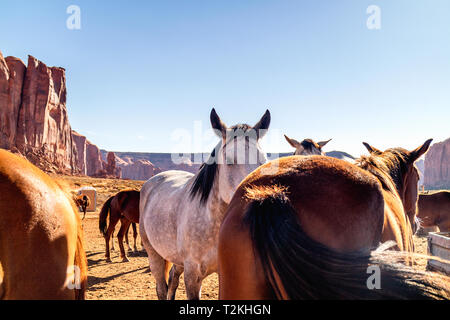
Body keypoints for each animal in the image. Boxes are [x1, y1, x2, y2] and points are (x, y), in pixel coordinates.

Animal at [139, 108, 268, 300]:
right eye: (229, 160)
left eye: (264, 160)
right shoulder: (193, 276)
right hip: (154, 254)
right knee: (161, 288)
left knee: (172, 280)